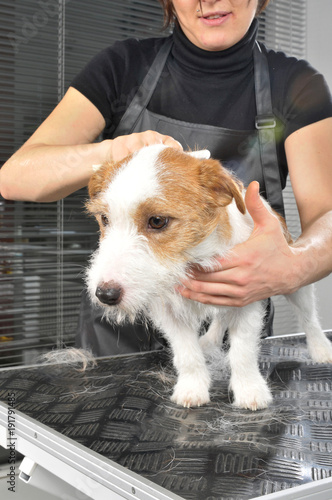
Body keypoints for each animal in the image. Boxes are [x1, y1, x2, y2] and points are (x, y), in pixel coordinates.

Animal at [85, 145, 332, 410]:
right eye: (105, 219)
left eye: (157, 221)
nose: (105, 294)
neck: (193, 259)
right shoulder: (170, 312)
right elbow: (187, 355)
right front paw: (192, 388)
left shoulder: (247, 295)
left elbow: (243, 352)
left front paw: (250, 391)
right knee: (220, 318)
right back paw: (210, 341)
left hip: (292, 278)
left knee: (308, 316)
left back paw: (321, 348)